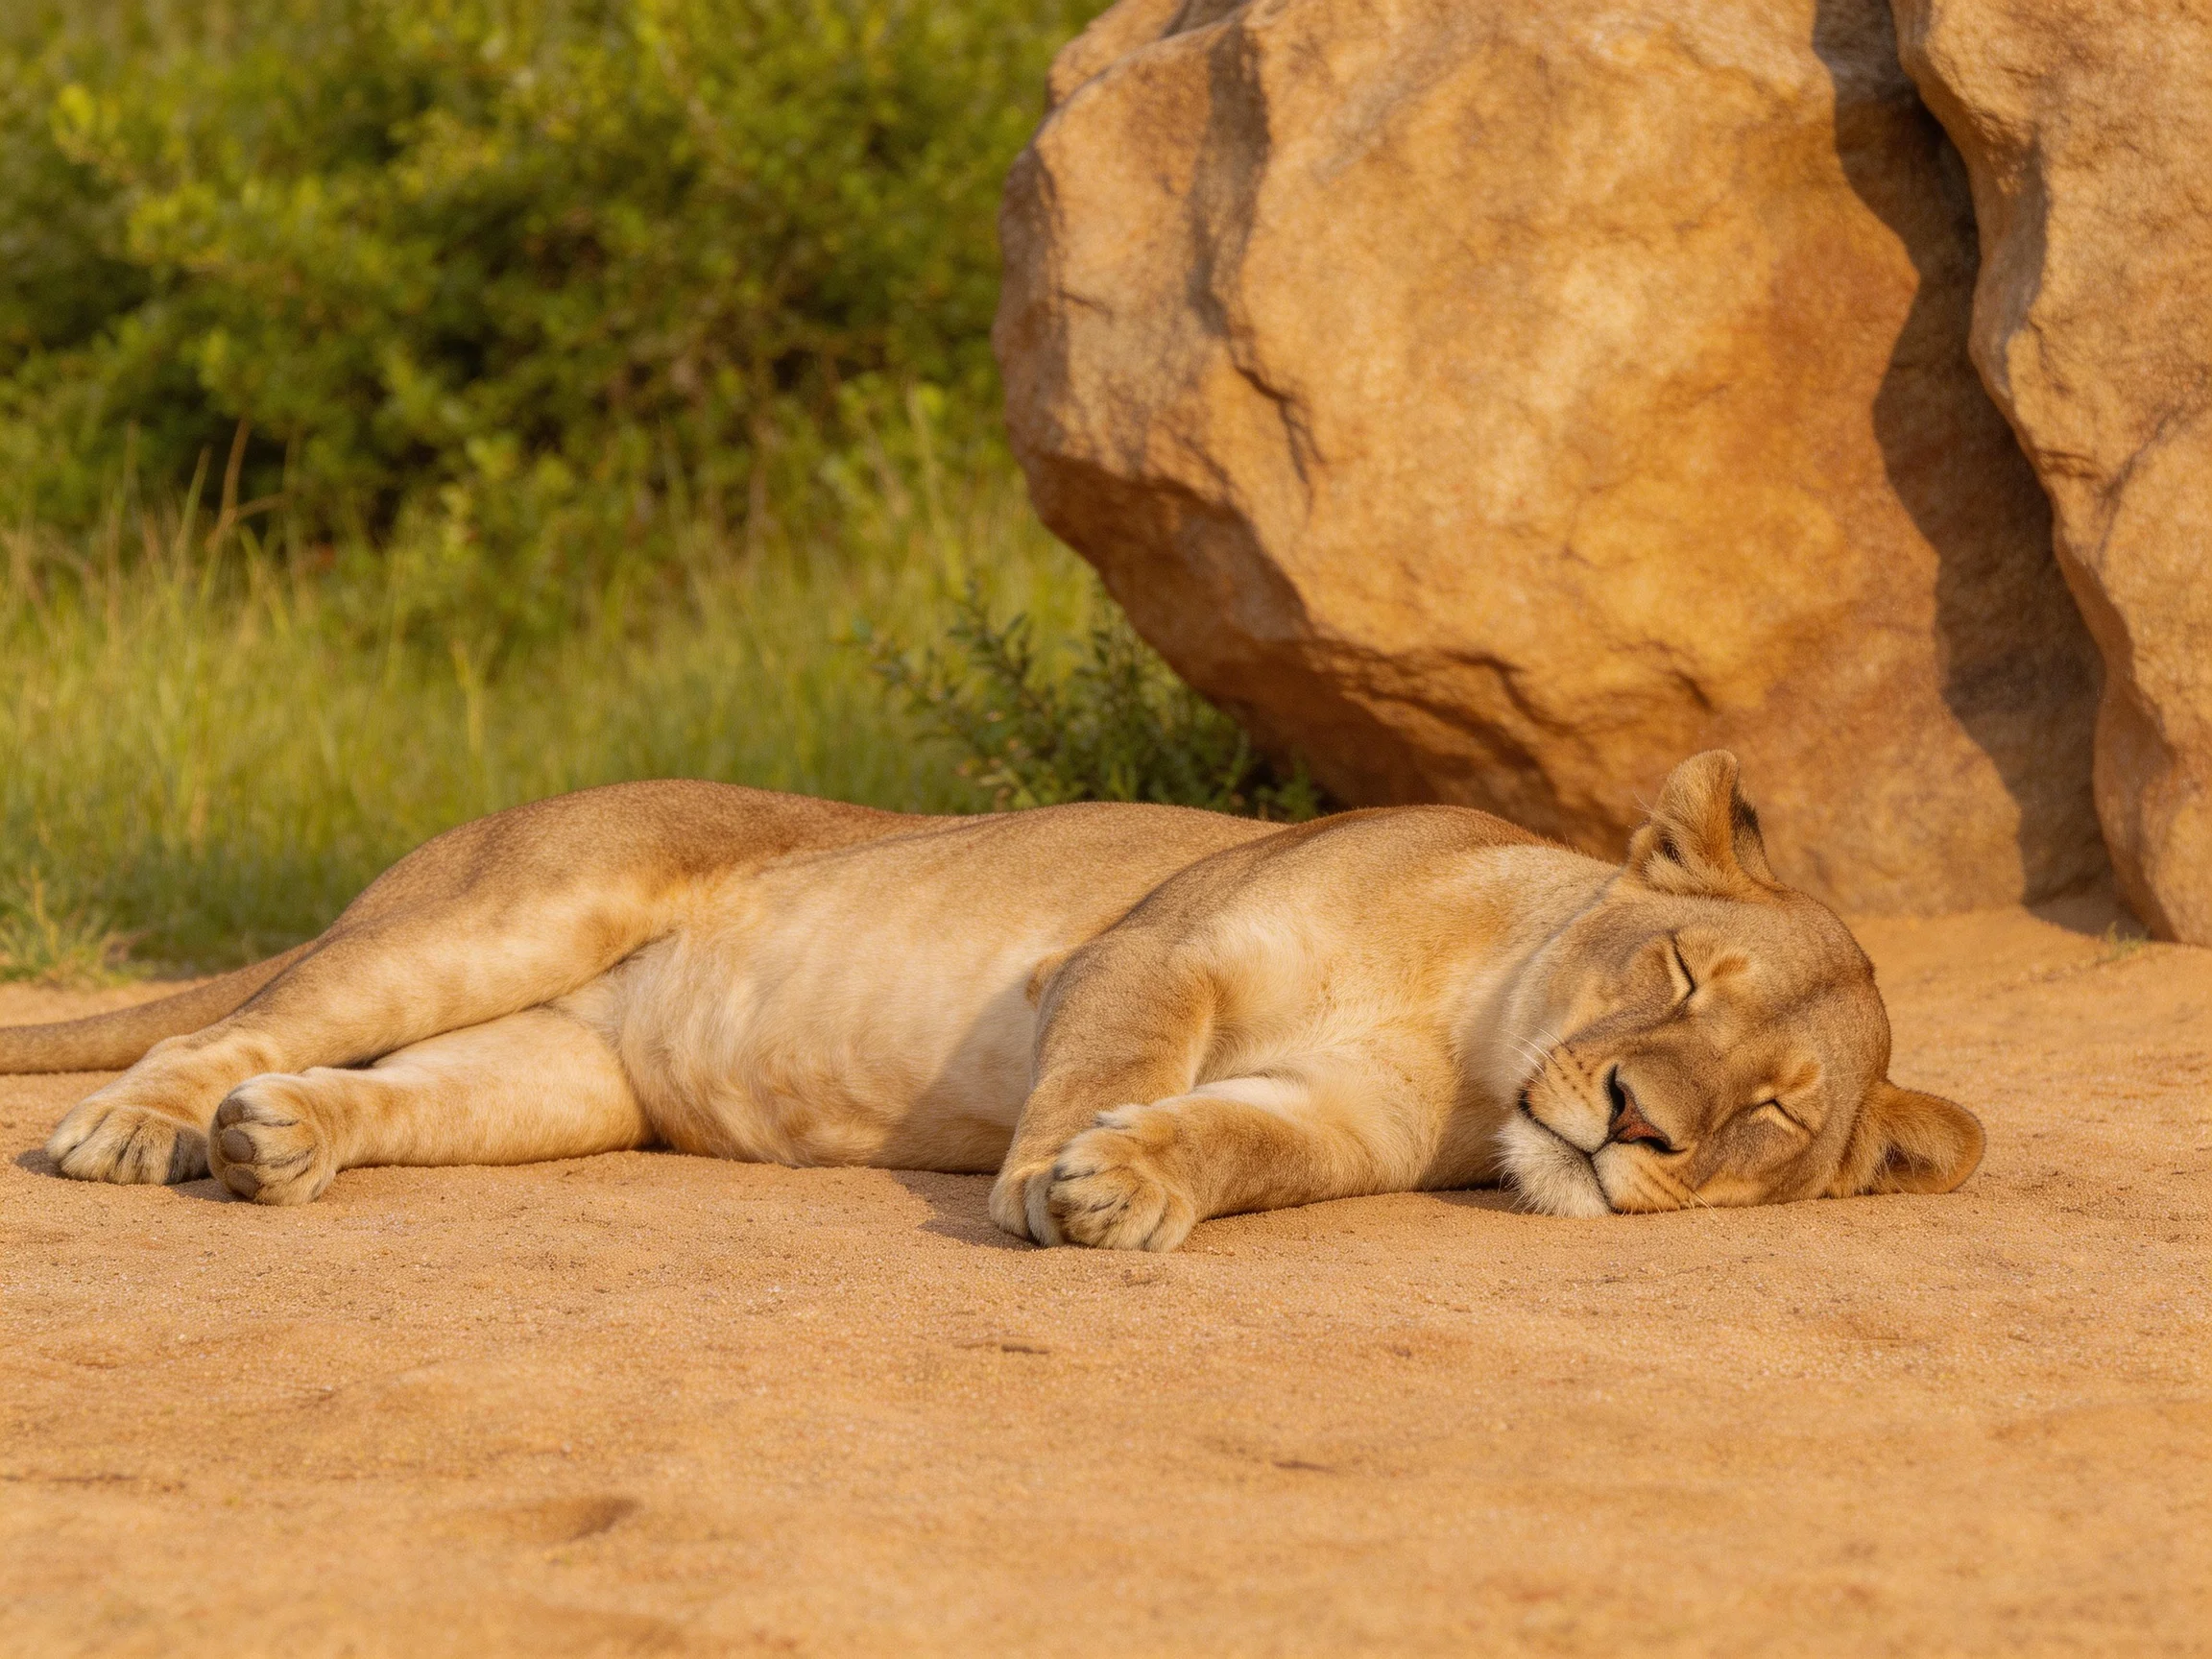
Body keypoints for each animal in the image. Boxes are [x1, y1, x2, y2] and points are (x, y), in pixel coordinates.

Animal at [12, 751, 1981, 1248]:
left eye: (1771, 1111)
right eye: (1678, 971)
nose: (1637, 1119)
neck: (1478, 1024)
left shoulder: (1334, 1120)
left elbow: (1230, 1139)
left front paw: (1136, 1185)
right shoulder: (1159, 942)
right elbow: (1111, 1053)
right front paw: (1047, 1176)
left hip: (566, 1076)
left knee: (394, 1083)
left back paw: (278, 1145)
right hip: (519, 905)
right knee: (237, 1016)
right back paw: (142, 1126)